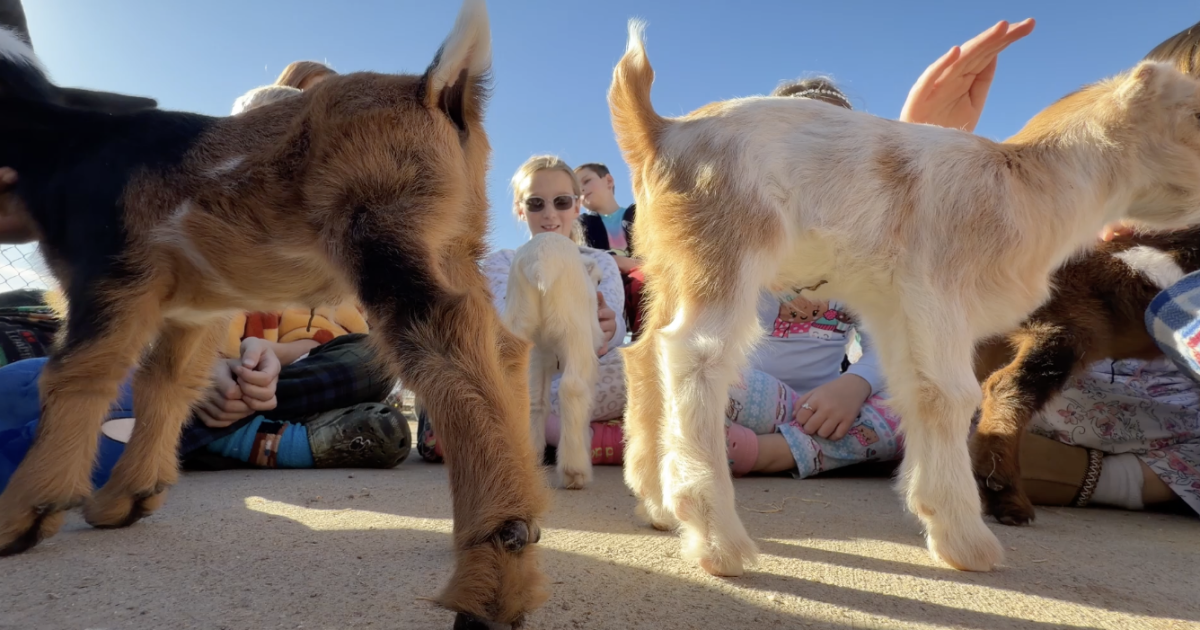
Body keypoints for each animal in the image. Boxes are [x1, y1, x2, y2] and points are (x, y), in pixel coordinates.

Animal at [0, 2, 549, 627]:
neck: (63, 142)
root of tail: (435, 87)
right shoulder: (192, 307)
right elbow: (165, 382)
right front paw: (124, 502)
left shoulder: (109, 269)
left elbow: (78, 373)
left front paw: (21, 519)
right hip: (454, 241)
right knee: (501, 342)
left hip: (381, 225)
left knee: (444, 338)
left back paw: (490, 584)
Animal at [503, 232, 605, 489]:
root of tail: (542, 260)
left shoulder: (539, 357)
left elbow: (538, 402)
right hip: (574, 335)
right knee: (572, 388)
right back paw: (575, 471)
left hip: (519, 331)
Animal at [608, 20, 1200, 576]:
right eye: (1194, 114)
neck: (1024, 185)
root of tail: (663, 130)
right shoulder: (939, 293)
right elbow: (953, 396)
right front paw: (968, 541)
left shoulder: (897, 308)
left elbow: (916, 393)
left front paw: (938, 519)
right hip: (727, 250)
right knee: (696, 355)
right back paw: (718, 543)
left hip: (671, 265)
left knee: (646, 354)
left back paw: (657, 508)